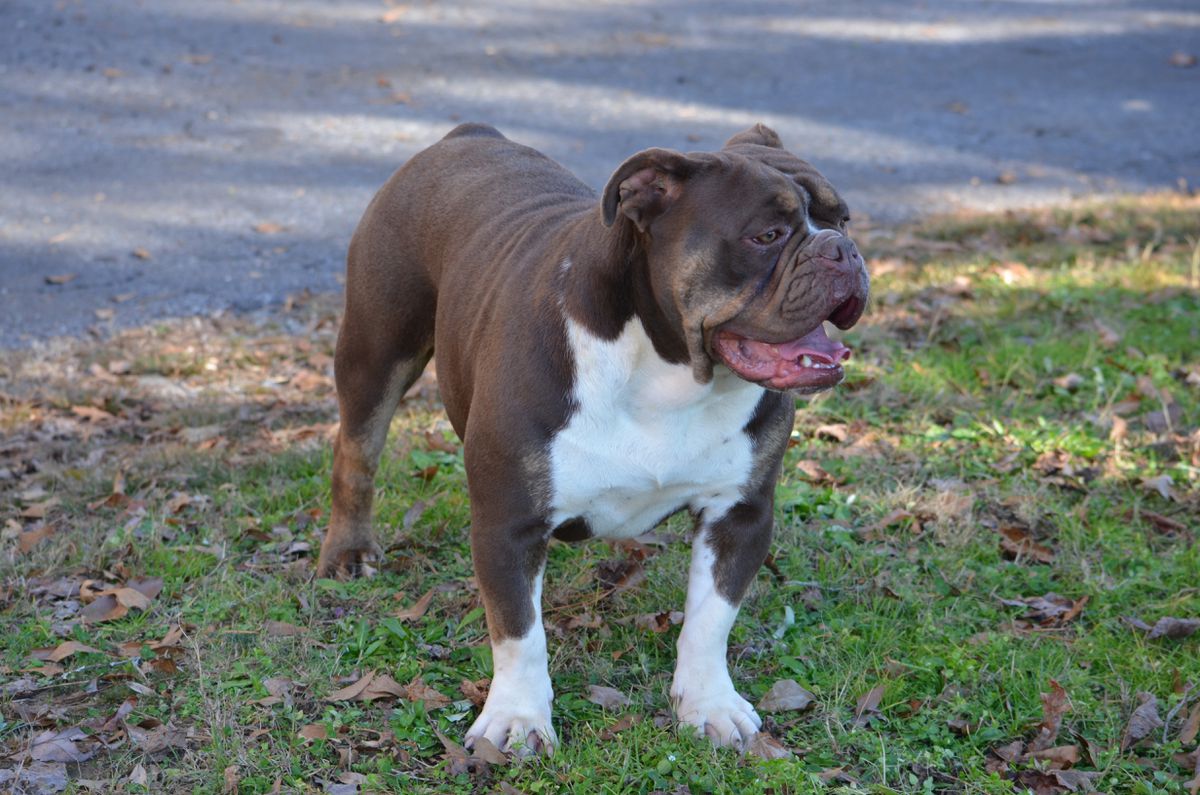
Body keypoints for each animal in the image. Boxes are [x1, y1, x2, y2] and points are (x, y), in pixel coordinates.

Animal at [314, 123, 868, 754]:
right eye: (766, 235)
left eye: (844, 220)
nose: (843, 250)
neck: (670, 372)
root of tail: (465, 134)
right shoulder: (509, 522)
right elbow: (519, 634)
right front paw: (518, 719)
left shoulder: (739, 515)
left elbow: (711, 620)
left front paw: (710, 705)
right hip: (377, 348)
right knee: (357, 449)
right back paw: (348, 551)